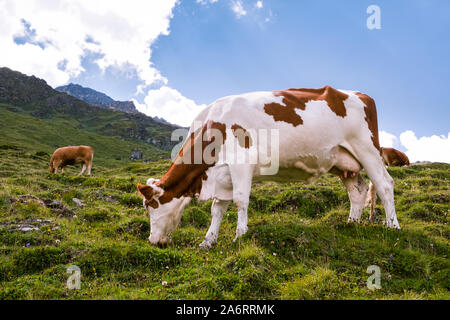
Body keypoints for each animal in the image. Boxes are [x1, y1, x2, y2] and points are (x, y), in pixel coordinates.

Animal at [137, 85, 400, 248]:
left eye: (150, 206)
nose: (153, 241)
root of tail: (359, 94)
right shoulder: (223, 174)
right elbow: (217, 209)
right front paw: (208, 241)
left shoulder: (241, 163)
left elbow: (240, 201)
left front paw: (240, 236)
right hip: (344, 162)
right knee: (358, 191)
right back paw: (351, 224)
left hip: (367, 149)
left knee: (384, 184)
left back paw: (392, 226)